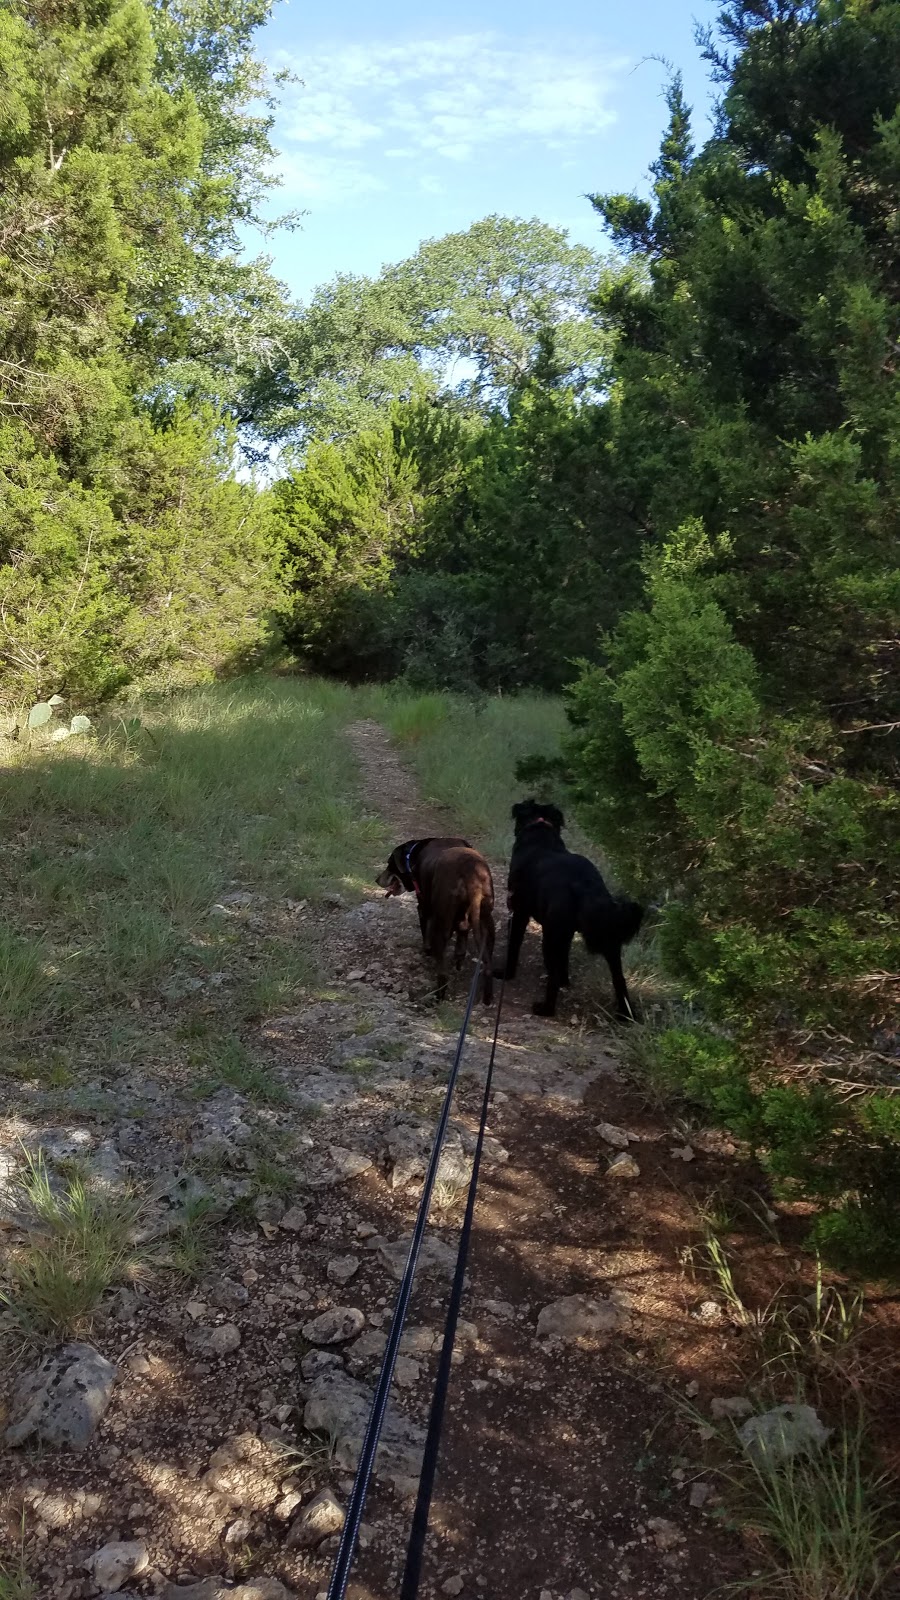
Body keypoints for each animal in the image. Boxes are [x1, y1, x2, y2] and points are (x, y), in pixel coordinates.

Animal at [374, 838, 493, 998]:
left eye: (389, 863)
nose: (376, 879)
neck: (414, 854)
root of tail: (471, 874)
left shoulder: (423, 908)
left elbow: (426, 935)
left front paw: (427, 951)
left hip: (441, 925)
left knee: (442, 972)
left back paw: (438, 995)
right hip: (487, 922)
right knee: (486, 963)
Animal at [493, 806, 640, 1017]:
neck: (540, 833)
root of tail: (583, 884)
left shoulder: (519, 914)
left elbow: (514, 946)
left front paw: (506, 974)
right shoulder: (567, 933)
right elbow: (564, 958)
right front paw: (566, 981)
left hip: (550, 936)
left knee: (552, 974)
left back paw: (545, 1009)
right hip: (608, 941)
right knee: (619, 979)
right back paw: (626, 1015)